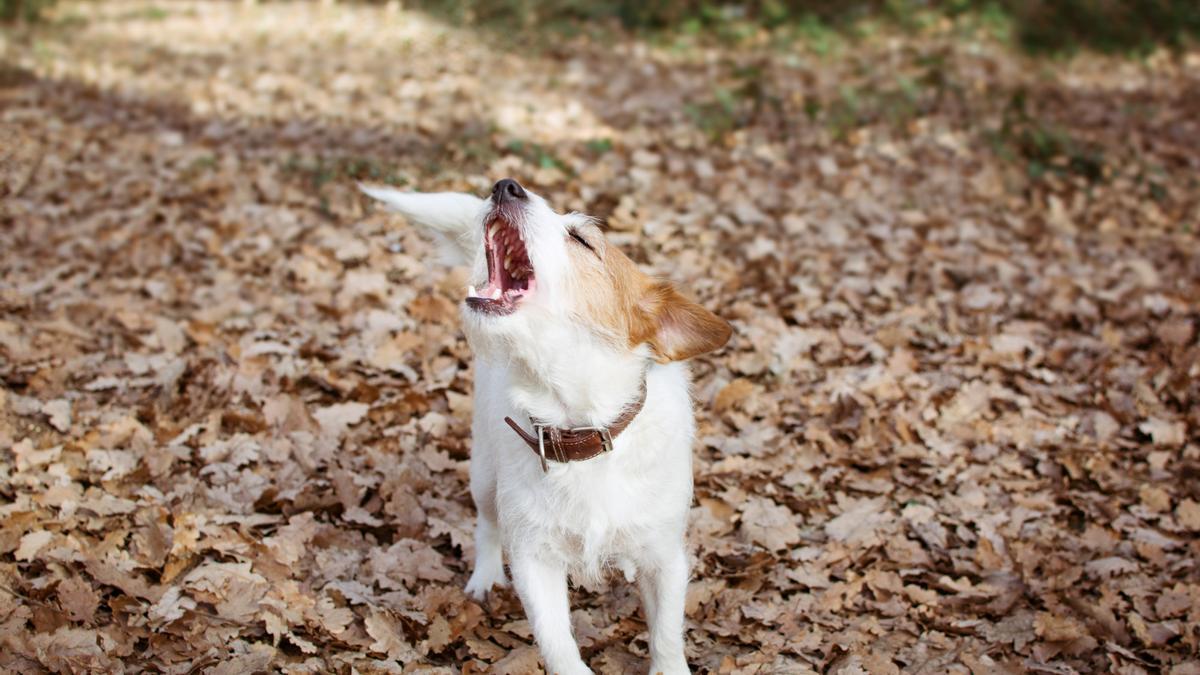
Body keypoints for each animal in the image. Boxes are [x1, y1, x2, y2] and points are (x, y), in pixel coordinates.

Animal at [357, 176, 729, 667]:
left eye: (581, 239)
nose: (505, 185)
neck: (581, 428)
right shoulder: (534, 561)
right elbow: (558, 647)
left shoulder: (664, 558)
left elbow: (667, 637)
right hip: (483, 475)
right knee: (487, 524)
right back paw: (485, 577)